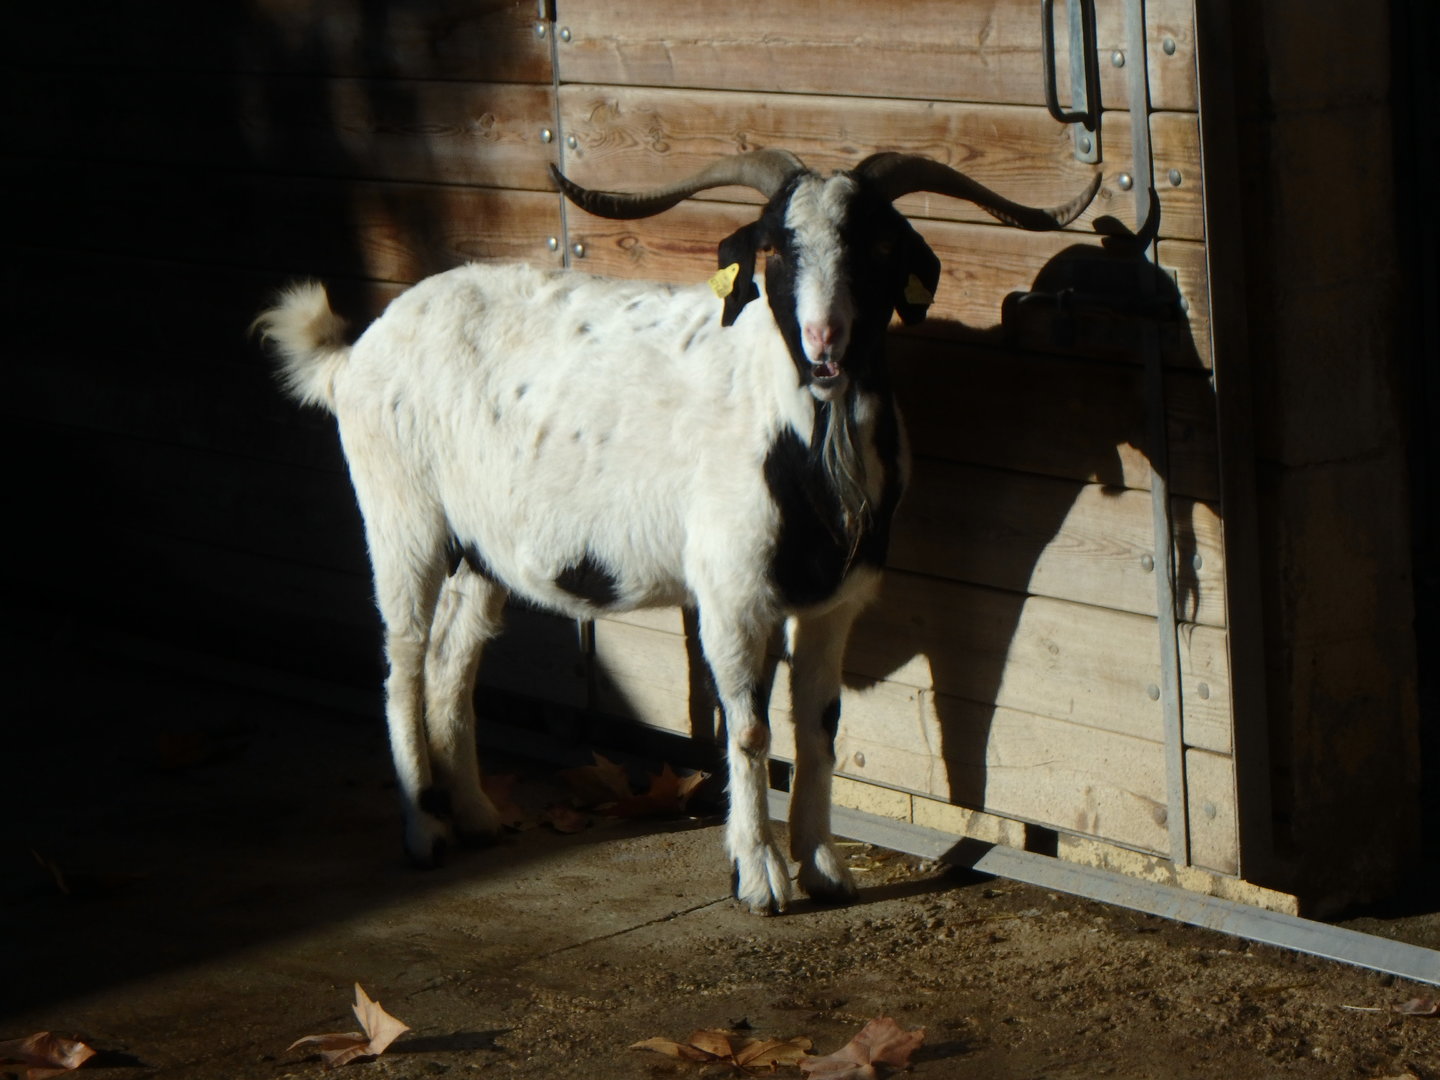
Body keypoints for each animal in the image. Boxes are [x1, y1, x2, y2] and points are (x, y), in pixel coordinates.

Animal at [256, 150, 1098, 913]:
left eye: (879, 246)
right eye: (776, 248)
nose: (824, 342)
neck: (800, 437)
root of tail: (353, 355)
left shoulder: (835, 602)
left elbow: (821, 729)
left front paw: (824, 866)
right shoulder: (731, 594)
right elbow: (751, 732)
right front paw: (759, 880)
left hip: (480, 552)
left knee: (449, 663)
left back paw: (476, 817)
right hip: (403, 516)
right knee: (401, 660)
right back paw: (424, 834)